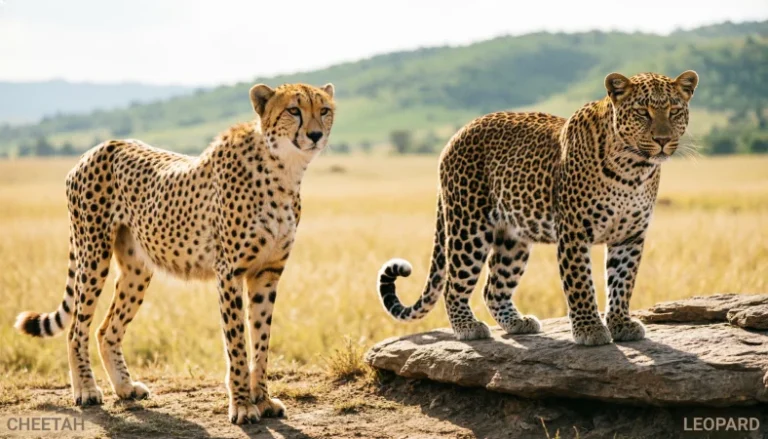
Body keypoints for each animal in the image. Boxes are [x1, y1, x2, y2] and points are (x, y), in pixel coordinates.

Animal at [15, 82, 336, 424]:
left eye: (324, 110)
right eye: (294, 110)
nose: (316, 134)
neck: (284, 169)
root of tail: (99, 147)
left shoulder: (267, 273)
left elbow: (261, 342)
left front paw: (262, 400)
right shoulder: (230, 273)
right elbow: (237, 343)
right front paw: (242, 406)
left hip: (137, 269)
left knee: (106, 329)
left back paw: (125, 387)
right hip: (93, 254)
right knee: (77, 328)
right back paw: (86, 390)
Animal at [377, 71, 699, 345]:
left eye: (674, 111)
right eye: (642, 112)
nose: (663, 140)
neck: (633, 169)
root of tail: (458, 134)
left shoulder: (630, 235)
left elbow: (622, 281)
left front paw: (621, 324)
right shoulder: (574, 231)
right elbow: (581, 284)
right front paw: (591, 330)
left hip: (512, 238)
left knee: (493, 287)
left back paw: (516, 322)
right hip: (469, 225)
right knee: (454, 283)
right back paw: (468, 327)